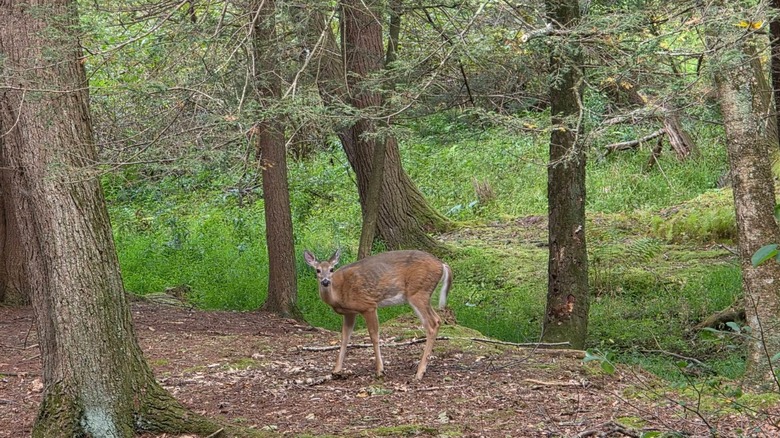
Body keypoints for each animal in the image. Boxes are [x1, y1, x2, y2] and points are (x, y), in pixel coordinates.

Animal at [303, 249, 452, 380]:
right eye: (317, 270)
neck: (338, 295)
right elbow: (345, 338)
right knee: (438, 320)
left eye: (331, 269)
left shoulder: (368, 305)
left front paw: (380, 370)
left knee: (432, 324)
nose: (325, 281)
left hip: (418, 291)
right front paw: (336, 370)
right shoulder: (350, 313)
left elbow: (374, 336)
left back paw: (419, 373)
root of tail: (442, 264)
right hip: (422, 293)